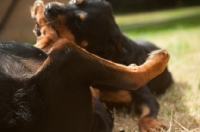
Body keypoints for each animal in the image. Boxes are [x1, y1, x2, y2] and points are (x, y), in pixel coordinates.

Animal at [30, 0, 173, 131]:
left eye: (80, 23)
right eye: (75, 1)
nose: (49, 8)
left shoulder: (145, 96)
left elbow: (147, 113)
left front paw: (151, 125)